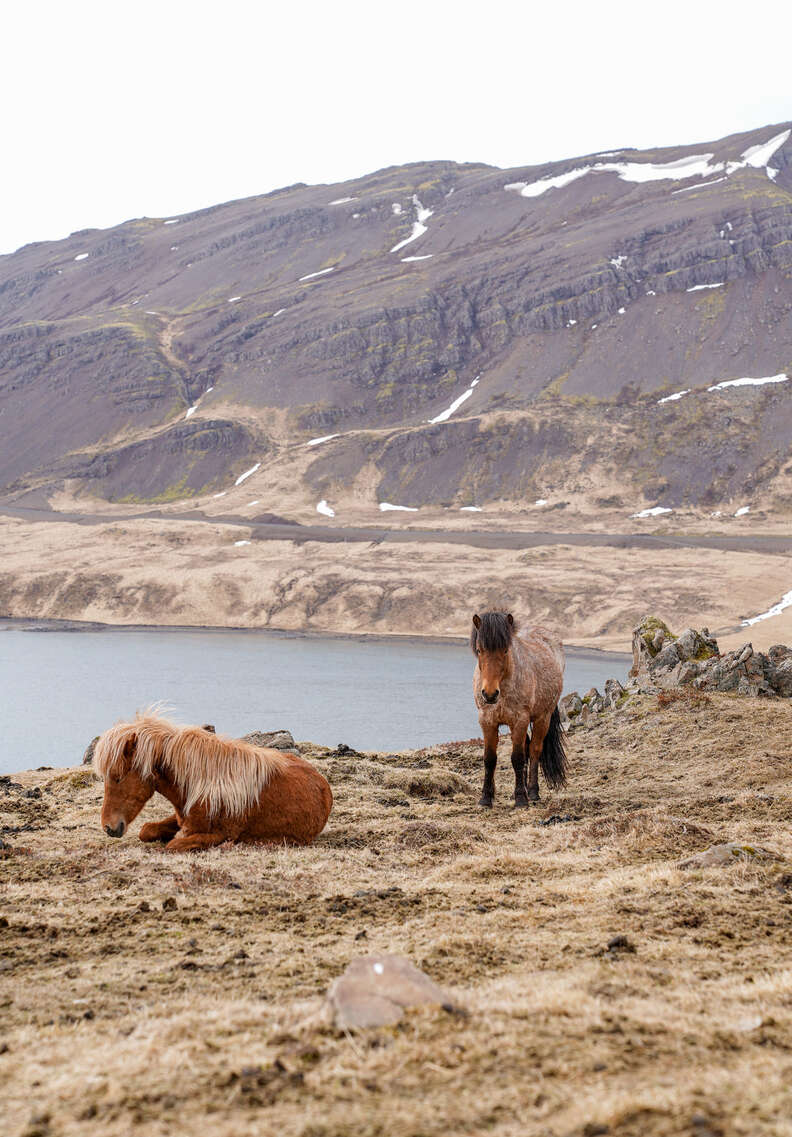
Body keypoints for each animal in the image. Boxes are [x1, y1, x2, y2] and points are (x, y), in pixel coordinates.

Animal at [94, 709, 331, 855]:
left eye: (117, 777)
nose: (109, 827)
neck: (201, 782)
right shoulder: (181, 818)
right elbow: (146, 830)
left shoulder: (219, 833)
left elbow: (174, 843)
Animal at [465, 613, 565, 809]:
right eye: (479, 650)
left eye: (505, 650)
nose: (489, 694)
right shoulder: (487, 721)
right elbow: (489, 758)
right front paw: (486, 798)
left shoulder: (520, 720)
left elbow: (517, 757)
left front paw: (521, 799)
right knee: (527, 748)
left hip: (543, 718)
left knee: (534, 750)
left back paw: (532, 792)